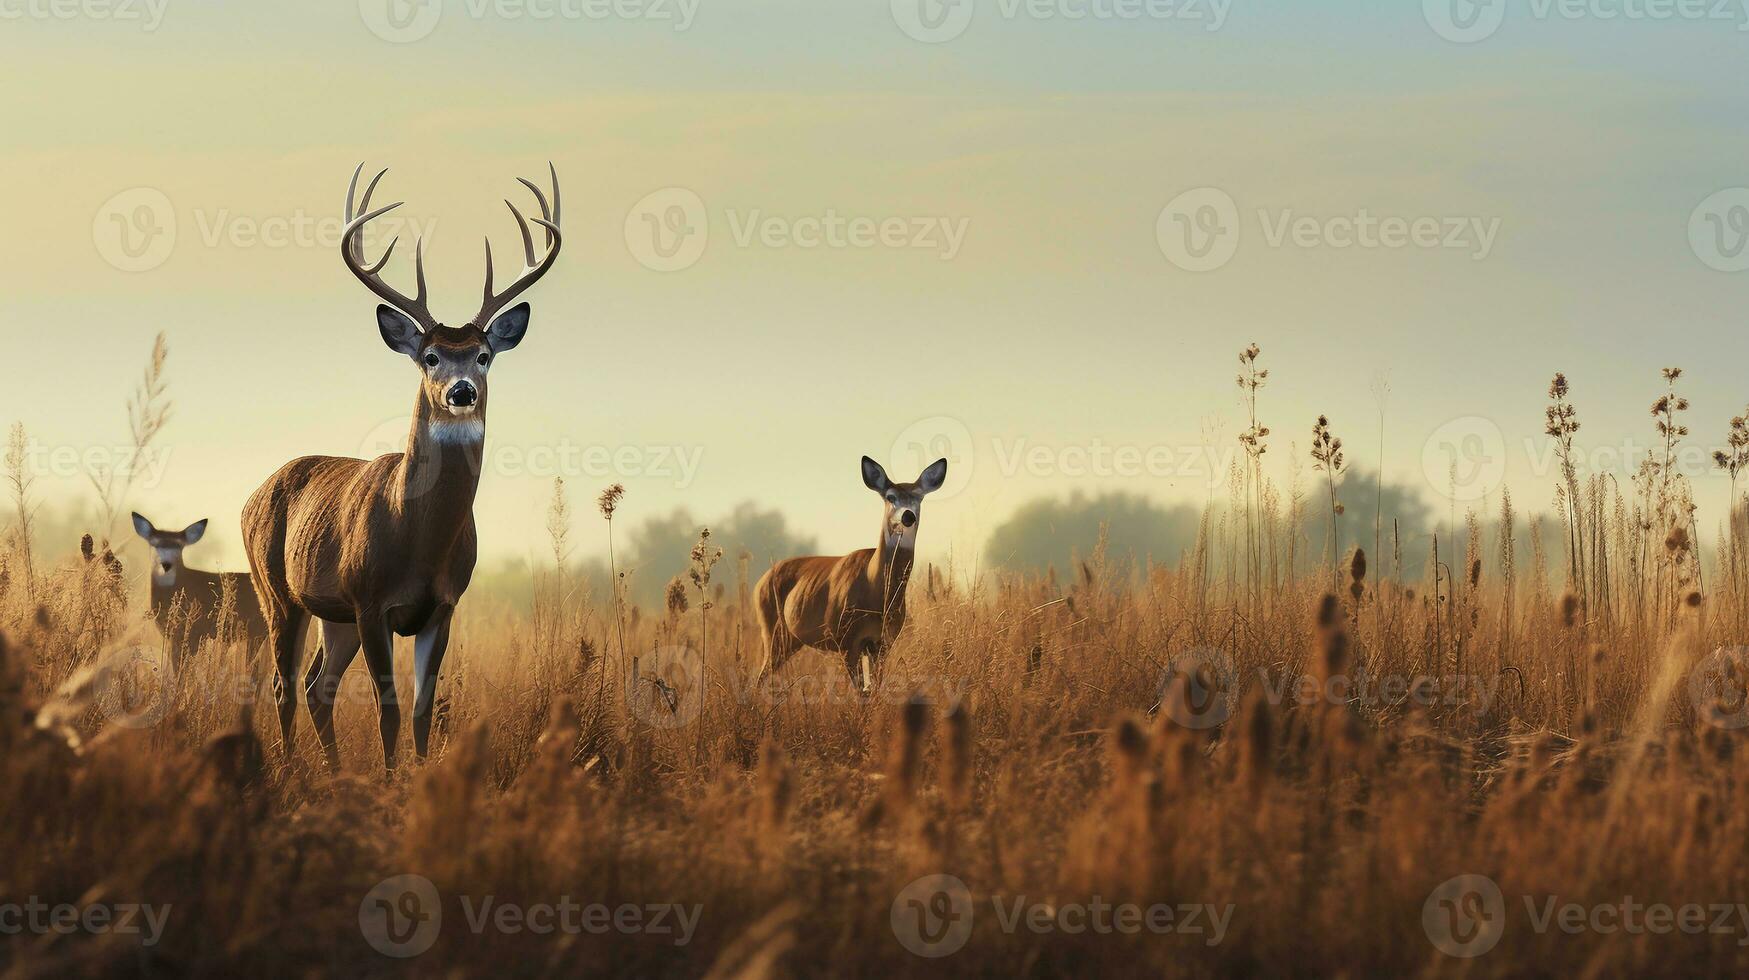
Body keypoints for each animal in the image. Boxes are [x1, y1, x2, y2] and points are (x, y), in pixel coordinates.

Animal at [243, 162, 559, 773]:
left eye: (483, 356)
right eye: (430, 356)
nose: (460, 391)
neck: (418, 537)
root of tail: (254, 494)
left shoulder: (443, 606)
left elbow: (420, 710)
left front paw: (417, 776)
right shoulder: (371, 601)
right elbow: (387, 708)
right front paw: (390, 783)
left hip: (333, 614)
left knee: (317, 687)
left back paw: (334, 773)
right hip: (277, 592)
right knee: (284, 686)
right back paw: (290, 769)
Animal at [752, 455, 944, 693]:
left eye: (918, 497)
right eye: (890, 497)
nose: (908, 516)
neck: (876, 593)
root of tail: (759, 583)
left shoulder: (883, 643)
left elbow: (873, 691)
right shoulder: (847, 641)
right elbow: (861, 693)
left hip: (791, 639)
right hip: (771, 630)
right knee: (760, 676)